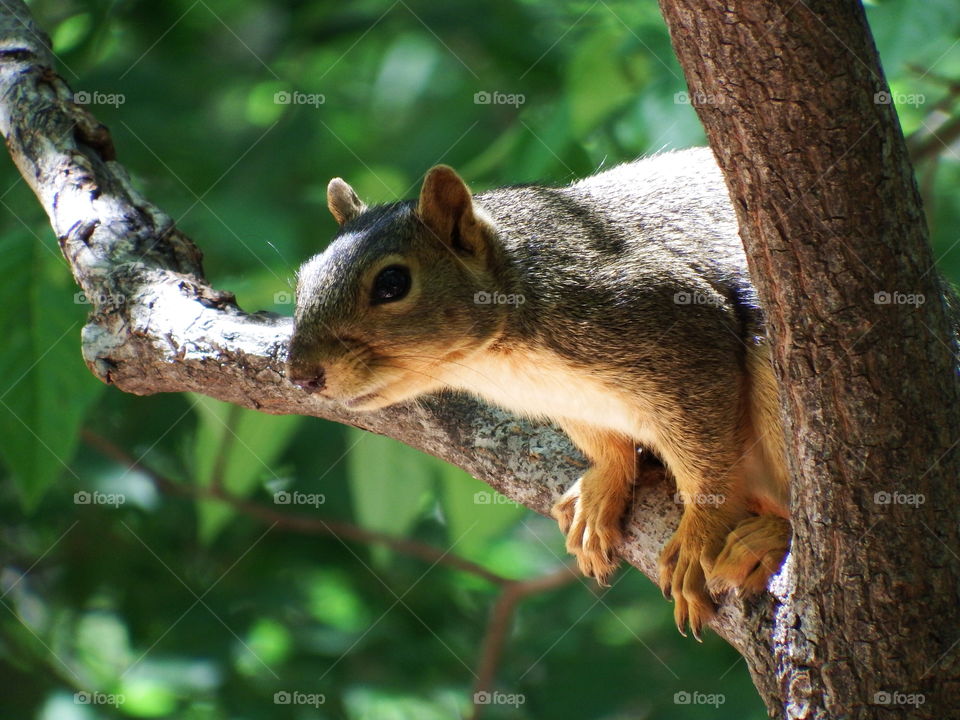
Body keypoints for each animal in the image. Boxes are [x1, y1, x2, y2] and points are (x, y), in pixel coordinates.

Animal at [287, 148, 791, 639]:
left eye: (393, 283)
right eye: (303, 278)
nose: (300, 374)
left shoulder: (679, 334)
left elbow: (708, 465)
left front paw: (699, 535)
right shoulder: (572, 403)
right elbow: (605, 448)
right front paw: (600, 491)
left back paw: (766, 541)